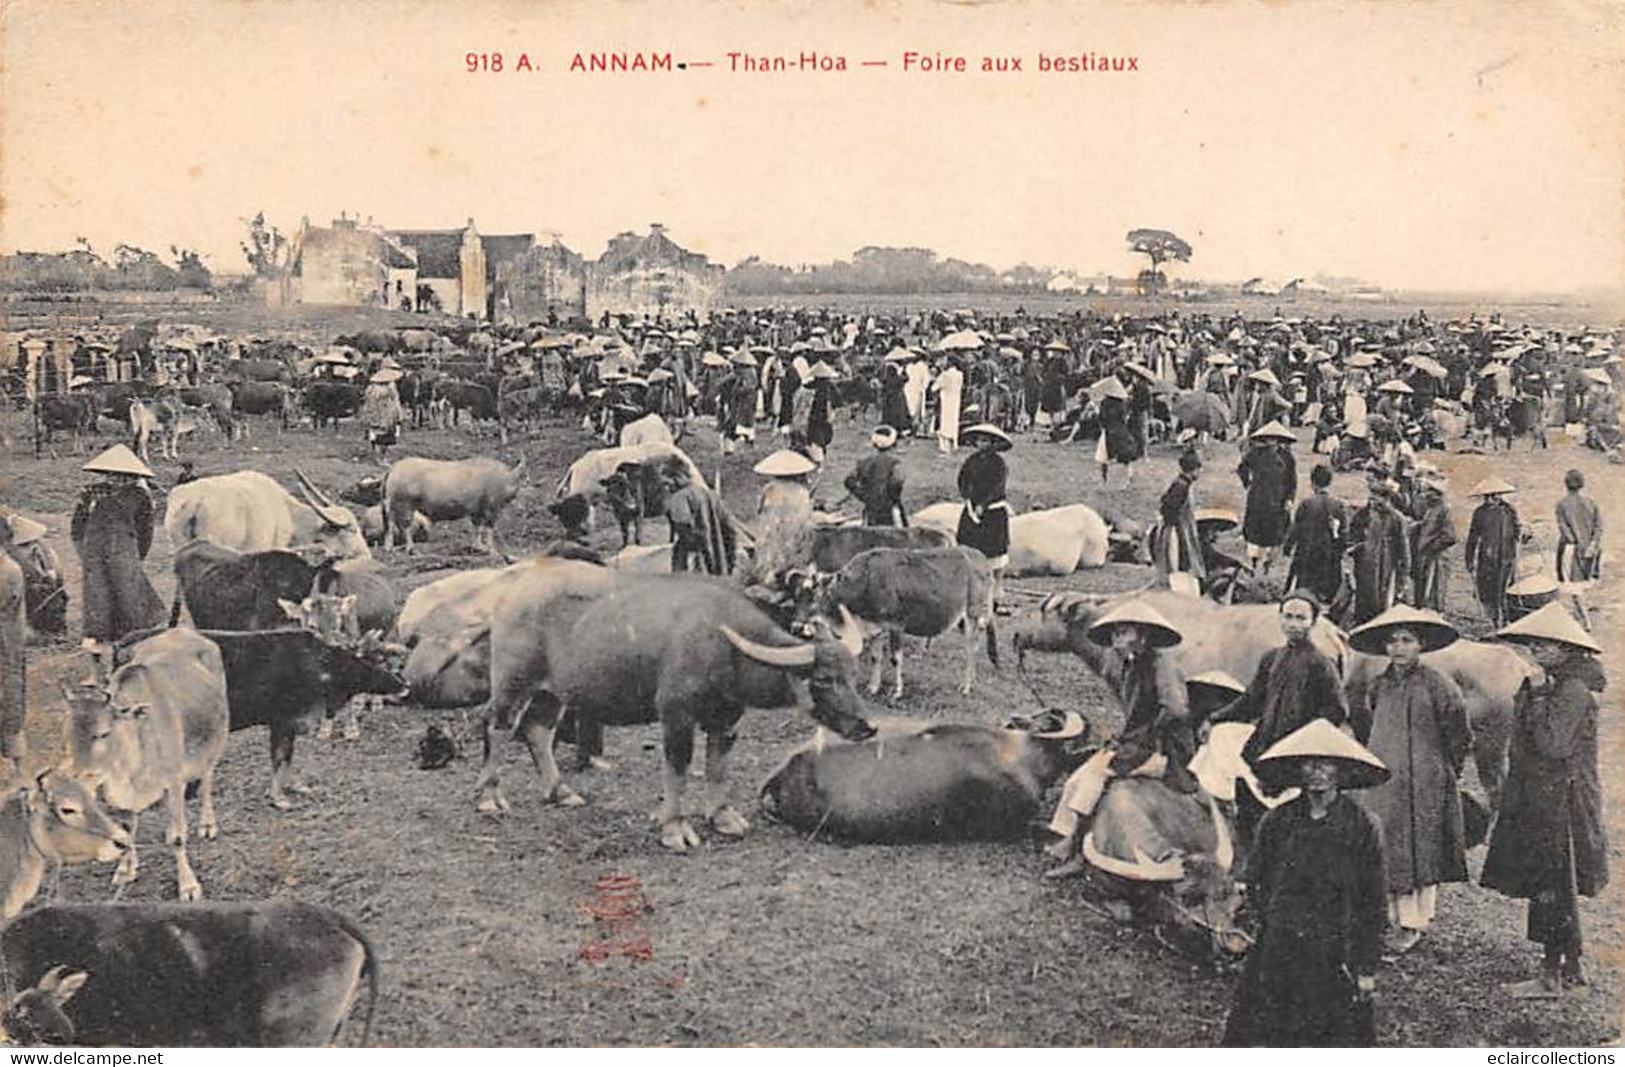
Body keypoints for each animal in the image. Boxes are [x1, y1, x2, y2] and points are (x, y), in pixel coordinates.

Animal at [60, 626, 229, 902]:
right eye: (67, 735)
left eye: (104, 733)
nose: (78, 777)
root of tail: (185, 631)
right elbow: (128, 831)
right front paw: (125, 870)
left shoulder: (174, 780)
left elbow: (178, 838)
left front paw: (189, 886)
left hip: (216, 737)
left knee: (206, 778)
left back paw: (207, 824)